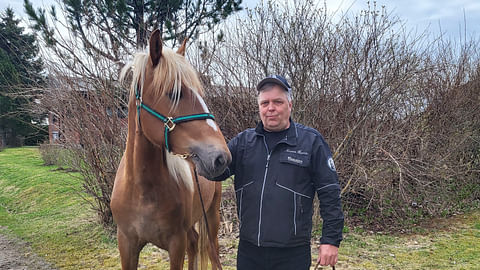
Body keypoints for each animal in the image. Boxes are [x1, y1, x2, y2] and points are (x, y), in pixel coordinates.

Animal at [112, 29, 232, 270]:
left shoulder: (176, 243)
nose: (221, 157)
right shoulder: (126, 244)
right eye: (173, 94)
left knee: (211, 251)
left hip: (212, 216)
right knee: (194, 243)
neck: (141, 191)